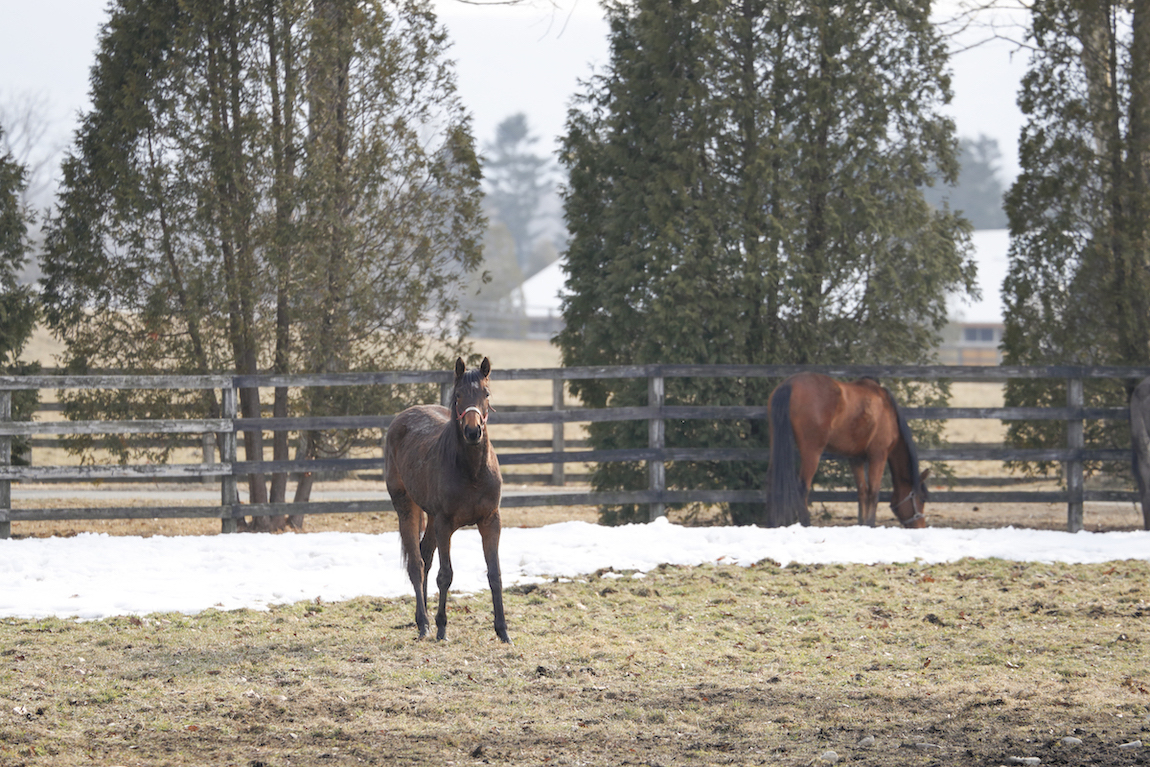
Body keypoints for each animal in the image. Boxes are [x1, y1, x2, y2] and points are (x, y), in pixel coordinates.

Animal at [381, 358, 508, 643]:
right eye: (458, 395)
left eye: (486, 394)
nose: (473, 432)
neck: (471, 471)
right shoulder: (445, 525)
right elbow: (445, 575)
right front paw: (441, 627)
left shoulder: (490, 521)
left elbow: (494, 573)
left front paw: (503, 630)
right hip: (407, 508)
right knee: (417, 564)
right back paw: (423, 623)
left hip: (430, 518)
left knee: (425, 556)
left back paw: (425, 617)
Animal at [768, 372, 929, 528]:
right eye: (922, 499)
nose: (921, 526)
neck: (888, 410)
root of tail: (789, 385)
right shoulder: (878, 456)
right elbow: (873, 492)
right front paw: (870, 524)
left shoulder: (855, 458)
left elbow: (862, 491)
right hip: (811, 452)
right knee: (802, 488)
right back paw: (806, 524)